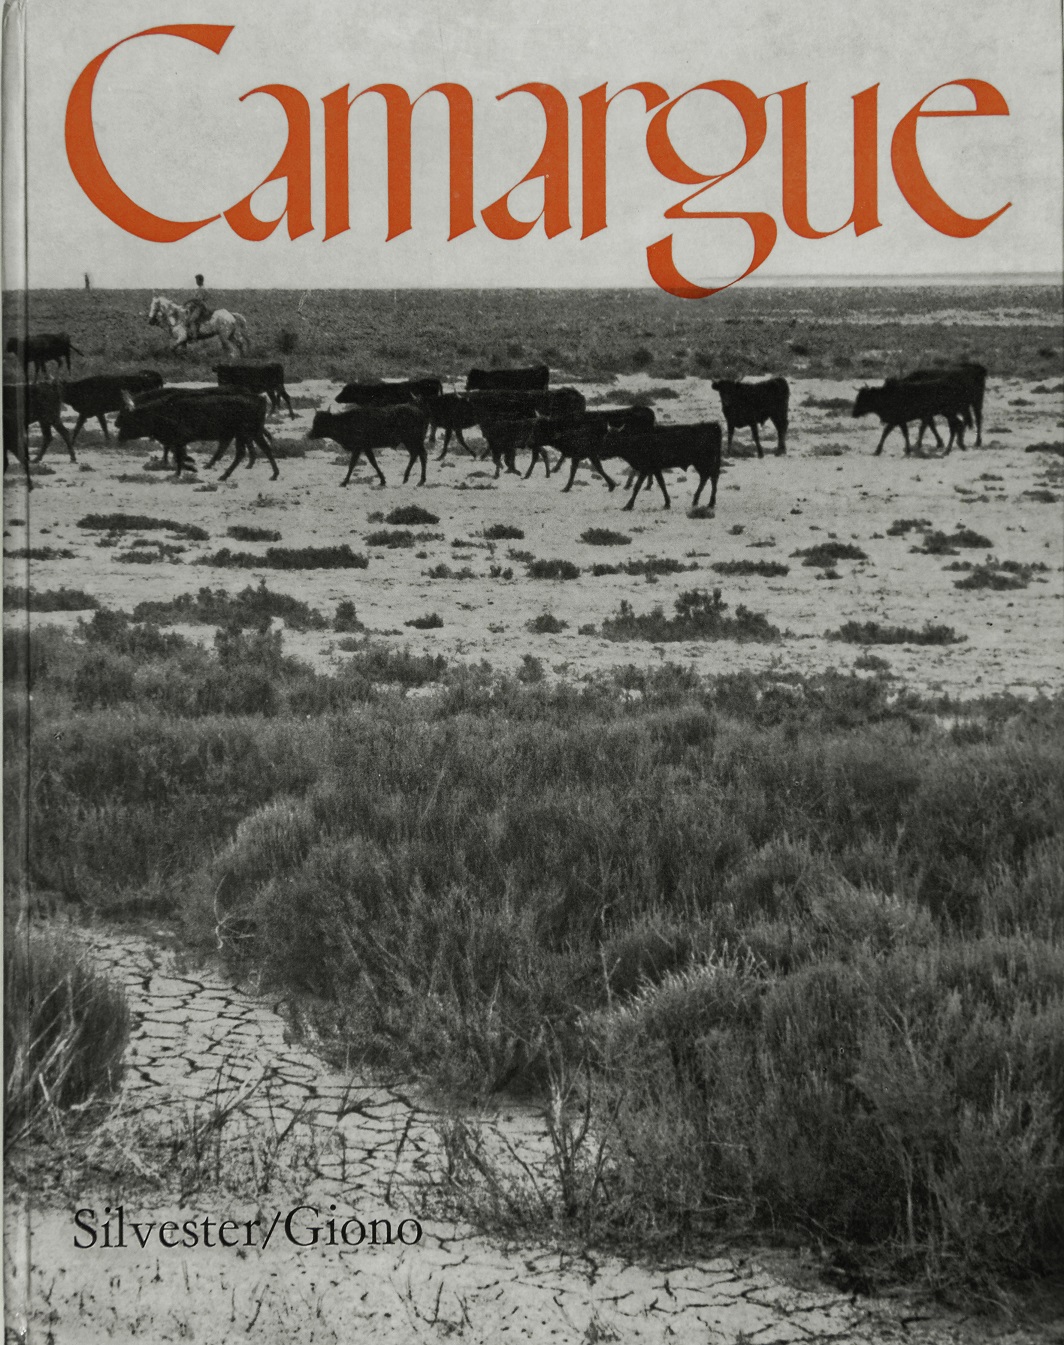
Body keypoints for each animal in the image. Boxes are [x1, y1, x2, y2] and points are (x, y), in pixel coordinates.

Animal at [116, 391, 277, 481]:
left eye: (127, 418)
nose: (119, 436)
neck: (162, 411)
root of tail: (259, 398)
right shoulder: (177, 442)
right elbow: (178, 457)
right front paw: (182, 470)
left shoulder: (178, 439)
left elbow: (179, 457)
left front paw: (188, 470)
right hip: (251, 434)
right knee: (264, 449)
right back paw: (274, 474)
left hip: (244, 434)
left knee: (243, 452)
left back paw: (224, 475)